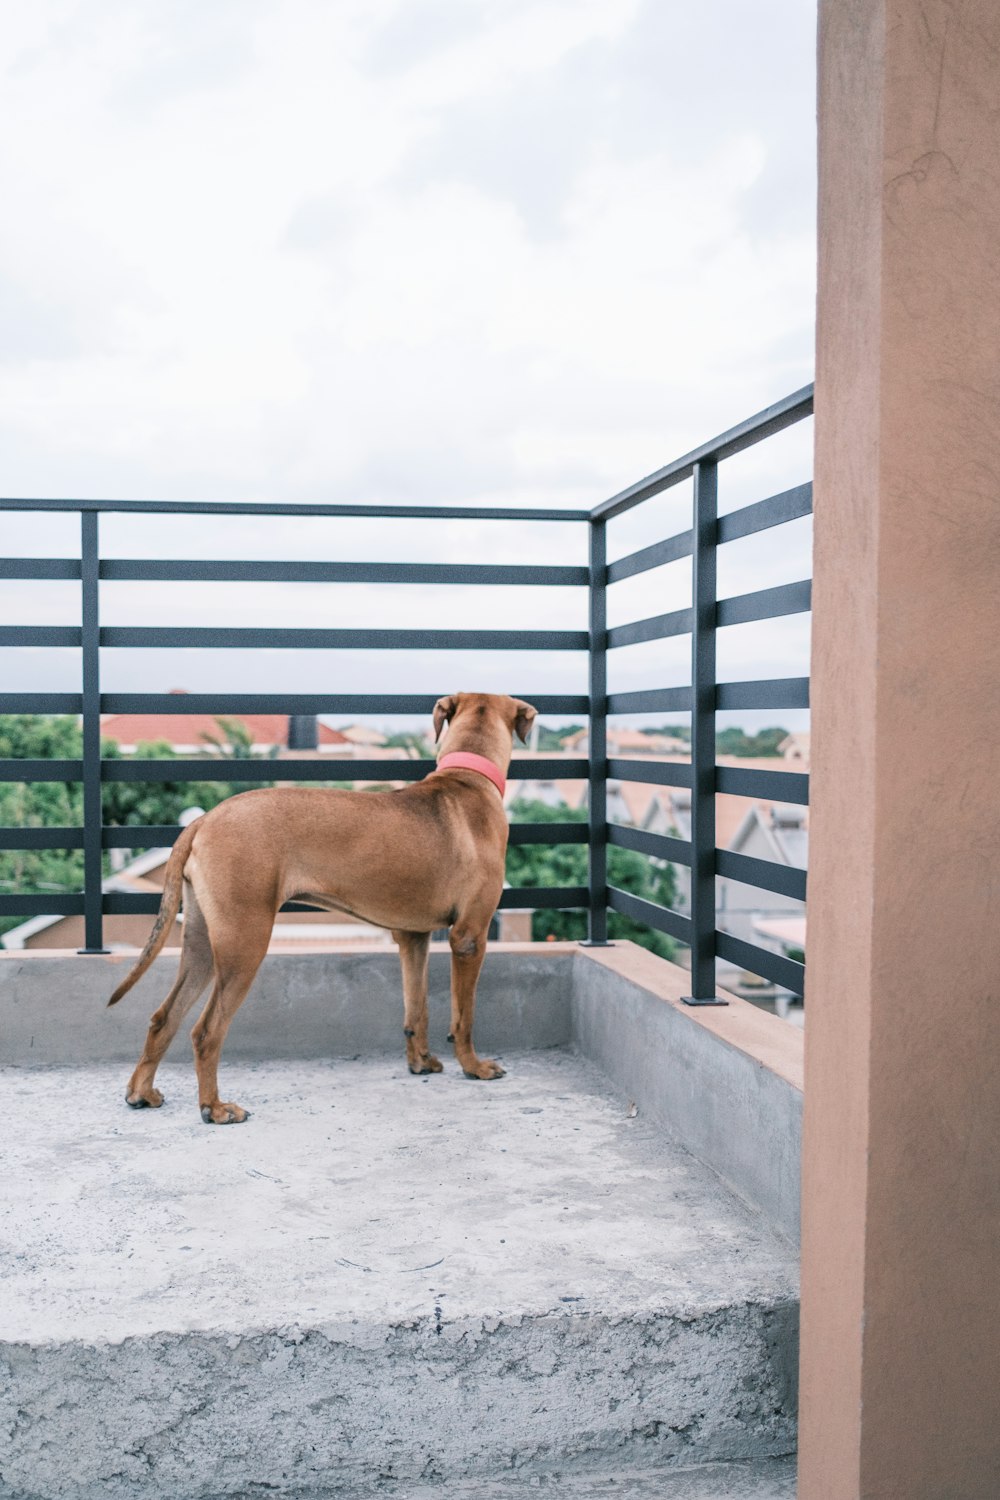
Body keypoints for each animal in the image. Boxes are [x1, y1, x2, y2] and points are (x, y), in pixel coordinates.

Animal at [105, 696, 536, 1122]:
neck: (467, 776)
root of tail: (204, 820)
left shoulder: (412, 937)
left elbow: (417, 1009)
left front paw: (421, 1062)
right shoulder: (469, 937)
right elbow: (464, 1016)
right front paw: (474, 1067)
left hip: (201, 944)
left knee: (164, 1017)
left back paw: (142, 1092)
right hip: (244, 942)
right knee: (206, 1031)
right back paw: (215, 1107)